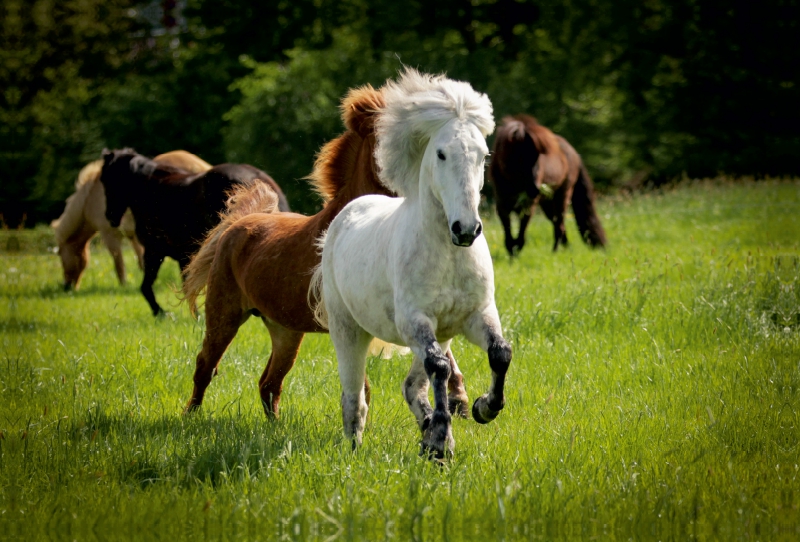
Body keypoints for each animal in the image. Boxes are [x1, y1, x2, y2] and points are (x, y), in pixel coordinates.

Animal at [49, 150, 212, 294]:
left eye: (61, 258)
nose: (67, 287)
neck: (89, 199)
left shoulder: (109, 234)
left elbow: (118, 263)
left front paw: (123, 285)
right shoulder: (135, 237)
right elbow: (140, 259)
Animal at [98, 150, 290, 318]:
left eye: (108, 179)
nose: (109, 216)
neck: (151, 190)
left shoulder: (154, 251)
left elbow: (148, 286)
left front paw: (162, 312)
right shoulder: (184, 256)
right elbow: (187, 285)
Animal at [181, 87, 468, 422]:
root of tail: (237, 225)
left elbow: (442, 352)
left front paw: (461, 400)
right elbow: (361, 380)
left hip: (285, 330)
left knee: (269, 382)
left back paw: (275, 427)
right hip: (224, 314)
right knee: (206, 366)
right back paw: (190, 417)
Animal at [310, 70, 512, 462]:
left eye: (483, 155)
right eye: (441, 153)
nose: (466, 229)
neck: (448, 255)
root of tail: (343, 217)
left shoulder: (476, 315)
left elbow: (499, 354)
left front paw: (482, 409)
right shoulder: (413, 320)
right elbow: (440, 369)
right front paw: (440, 446)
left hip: (442, 333)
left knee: (413, 384)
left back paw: (428, 431)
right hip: (348, 330)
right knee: (354, 397)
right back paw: (357, 448)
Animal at [488, 115, 608, 255]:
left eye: (537, 157)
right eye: (521, 156)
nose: (535, 189)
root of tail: (574, 153)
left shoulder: (528, 205)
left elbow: (521, 234)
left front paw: (516, 250)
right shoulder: (502, 205)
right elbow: (508, 235)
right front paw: (512, 253)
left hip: (562, 196)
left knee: (559, 224)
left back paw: (555, 252)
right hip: (547, 203)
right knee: (558, 224)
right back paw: (566, 249)